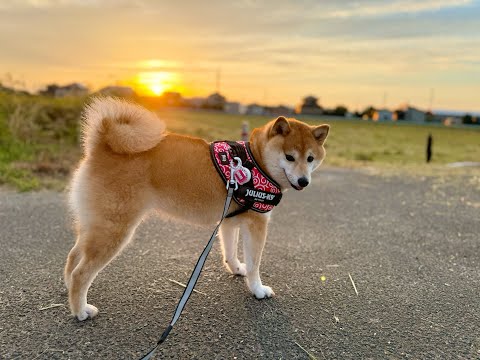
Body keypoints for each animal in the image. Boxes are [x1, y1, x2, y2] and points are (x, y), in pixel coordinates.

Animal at [64, 97, 330, 320]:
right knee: (81, 273)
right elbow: (255, 264)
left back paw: (69, 291)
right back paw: (80, 311)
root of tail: (102, 145)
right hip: (115, 229)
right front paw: (258, 289)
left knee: (73, 257)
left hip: (95, 224)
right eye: (289, 157)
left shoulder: (229, 221)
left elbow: (230, 252)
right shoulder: (257, 224)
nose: (304, 181)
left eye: (310, 159)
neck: (256, 161)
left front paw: (237, 269)